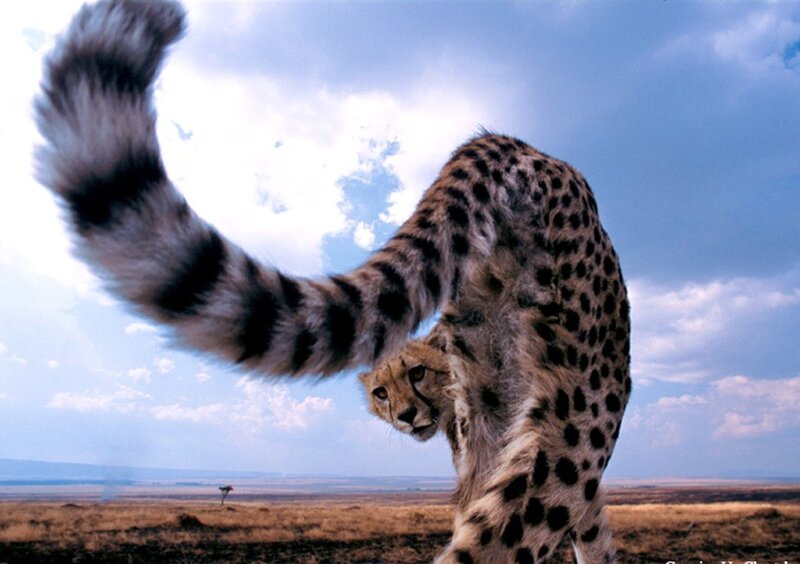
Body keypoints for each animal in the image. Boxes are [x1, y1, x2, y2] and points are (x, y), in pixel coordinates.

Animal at [34, 1, 631, 562]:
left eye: (417, 373)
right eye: (381, 392)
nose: (406, 416)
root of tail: (510, 143)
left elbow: (587, 532)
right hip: (578, 419)